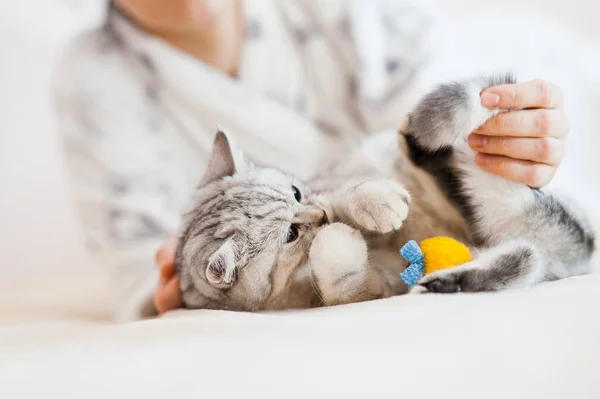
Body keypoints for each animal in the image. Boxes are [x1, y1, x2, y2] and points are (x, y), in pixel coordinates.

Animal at [175, 75, 596, 312]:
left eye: (296, 192)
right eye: (290, 235)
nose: (321, 218)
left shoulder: (333, 185)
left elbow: (351, 191)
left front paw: (376, 206)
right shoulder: (369, 289)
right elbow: (338, 273)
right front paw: (337, 240)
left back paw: (417, 136)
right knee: (524, 255)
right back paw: (448, 282)